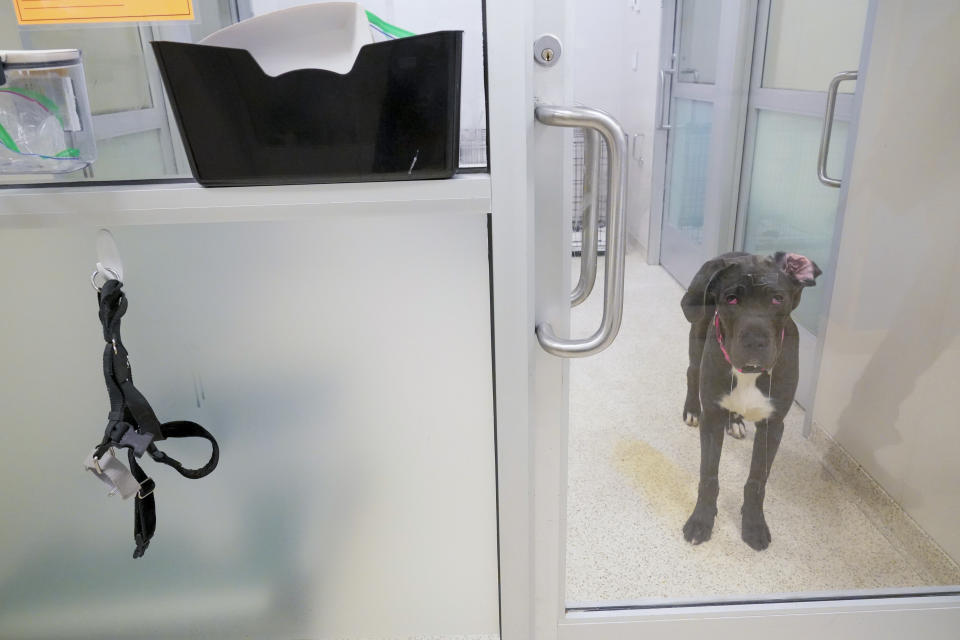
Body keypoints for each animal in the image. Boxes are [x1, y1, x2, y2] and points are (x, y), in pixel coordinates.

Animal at [680, 250, 820, 552]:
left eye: (778, 299)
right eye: (731, 299)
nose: (755, 341)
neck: (750, 374)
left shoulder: (773, 426)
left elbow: (757, 481)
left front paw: (754, 525)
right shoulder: (712, 419)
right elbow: (708, 475)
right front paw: (701, 521)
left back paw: (735, 421)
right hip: (697, 333)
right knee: (691, 371)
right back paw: (691, 409)